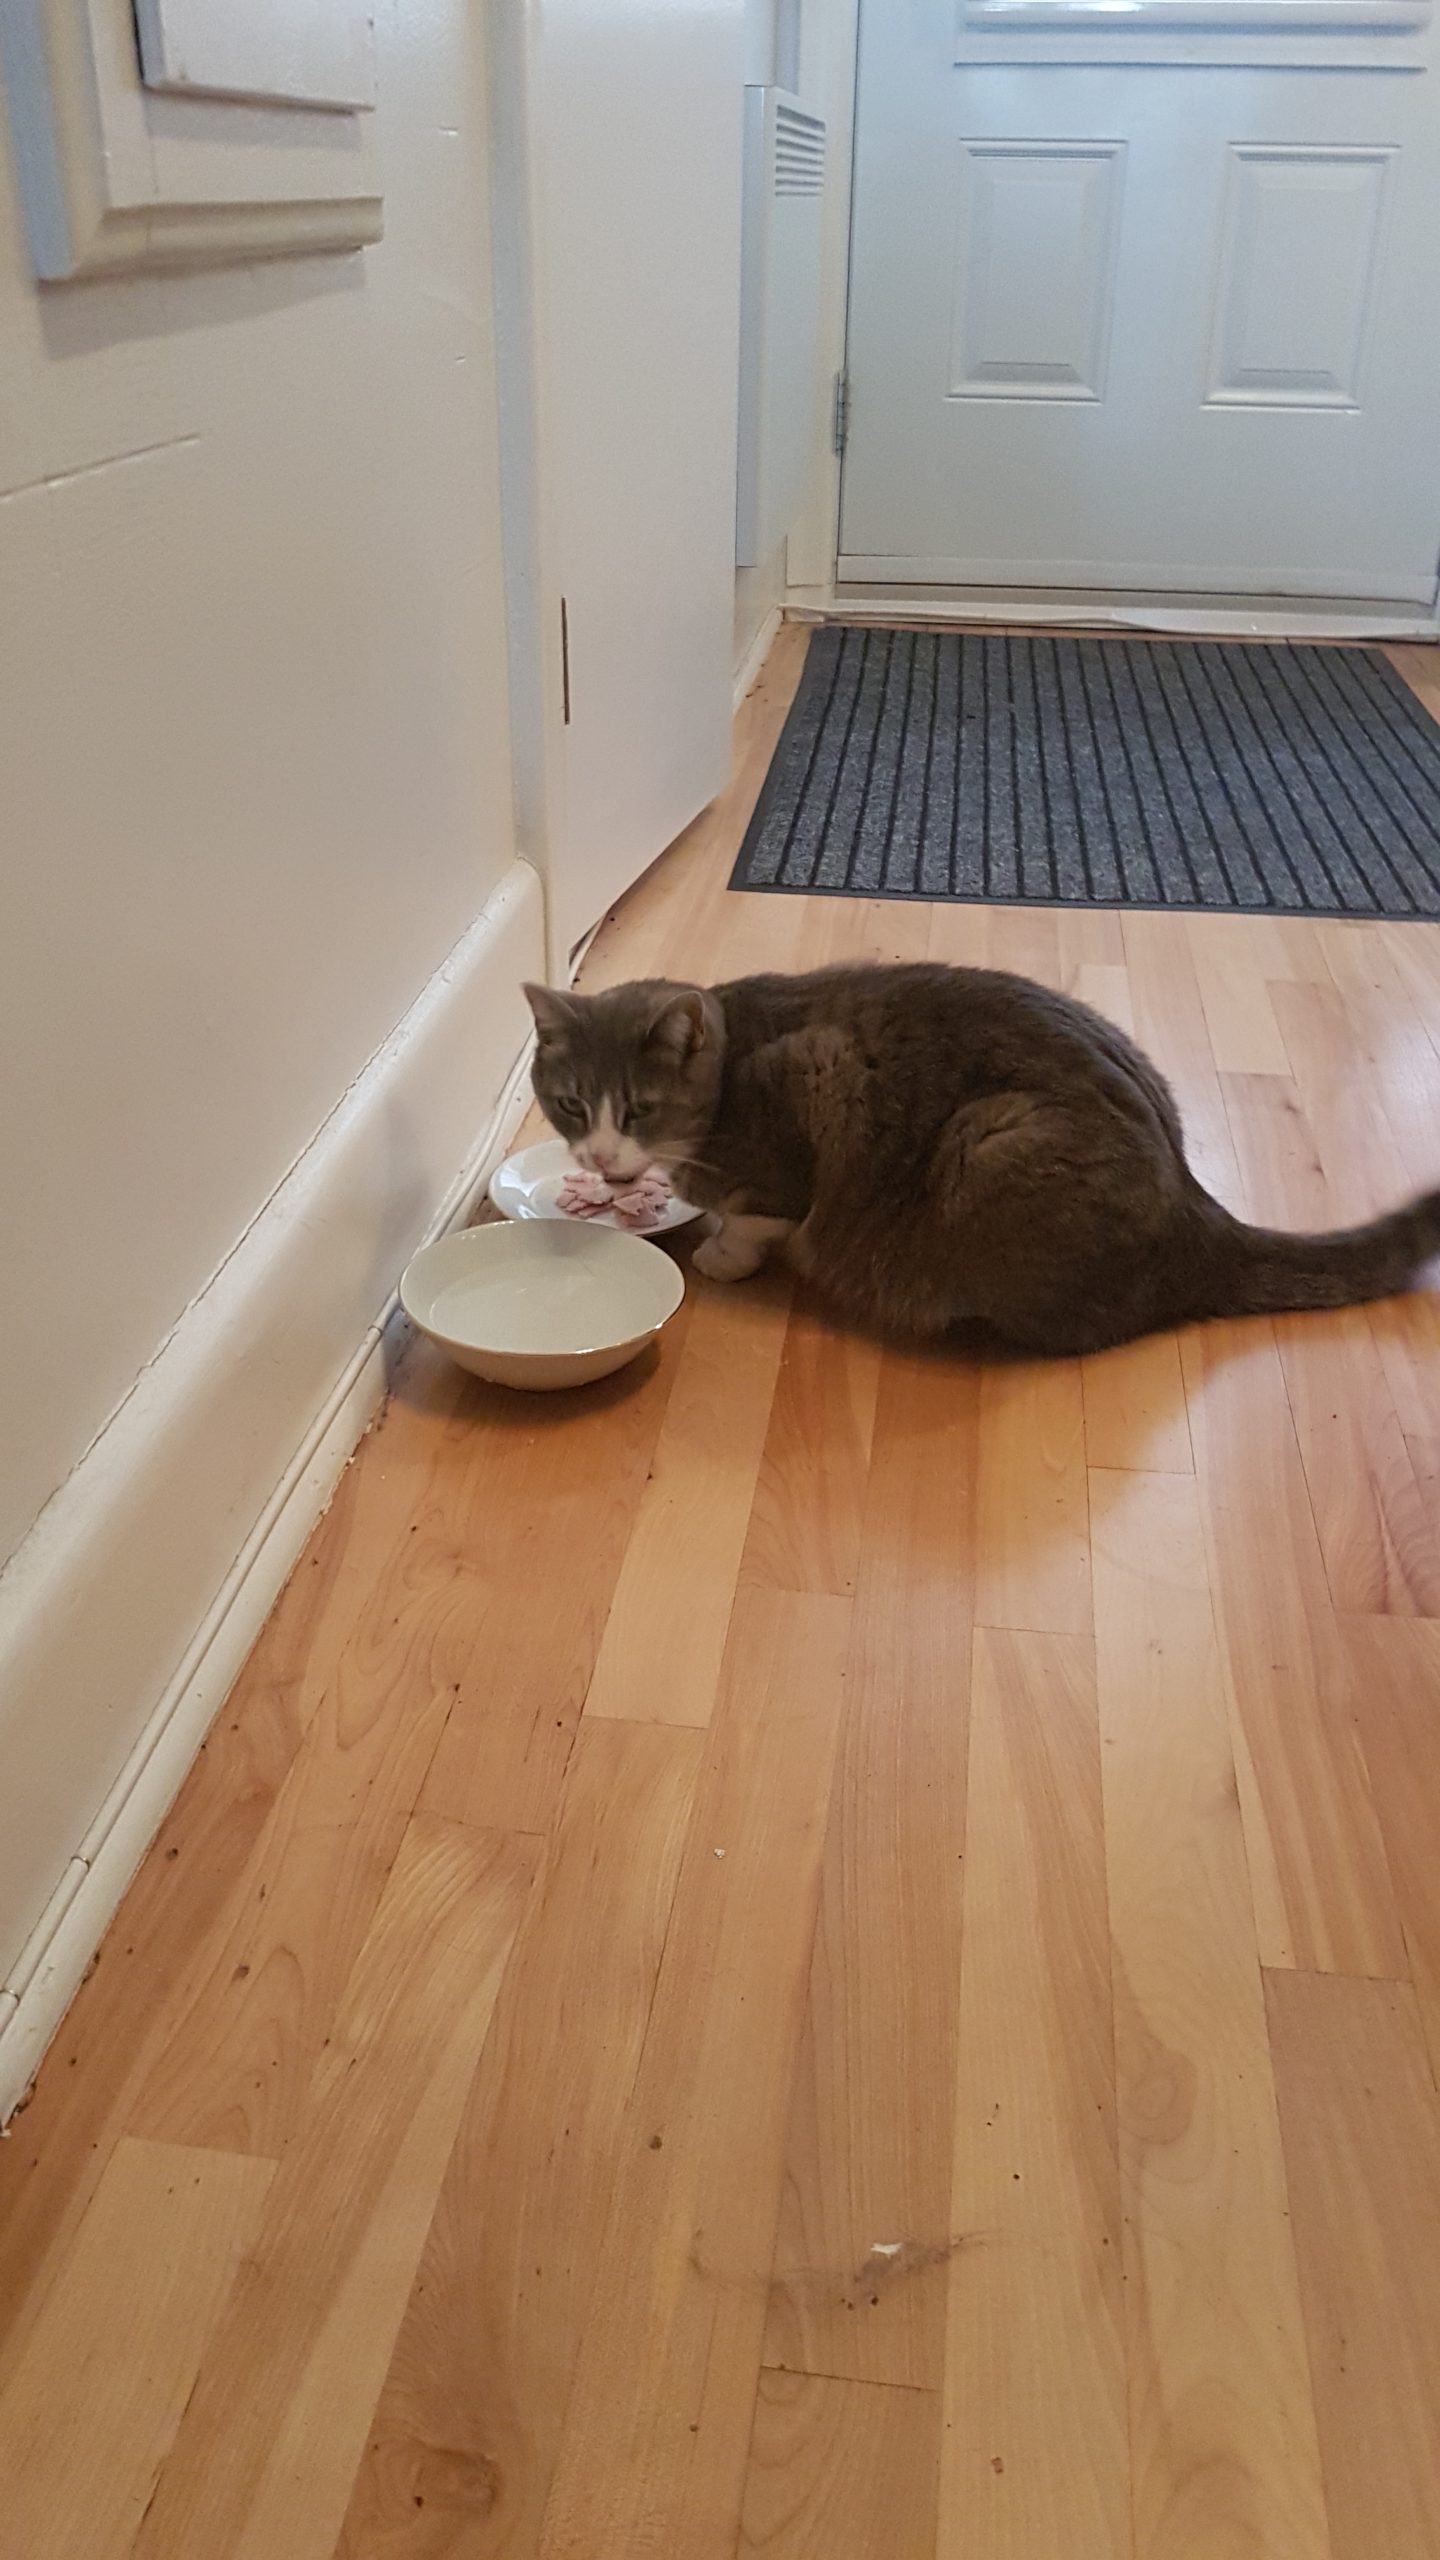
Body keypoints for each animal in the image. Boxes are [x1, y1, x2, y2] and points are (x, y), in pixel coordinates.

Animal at [523, 964, 1440, 1356]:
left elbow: (761, 1213)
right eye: (569, 1105)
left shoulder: (809, 1088)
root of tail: (1199, 1212)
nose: (601, 1155)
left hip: (988, 1144)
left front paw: (722, 1251)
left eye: (638, 1110)